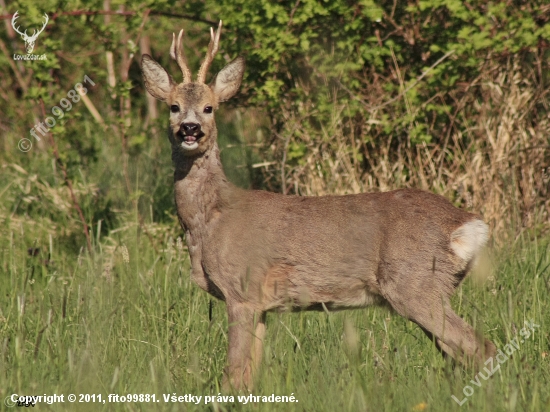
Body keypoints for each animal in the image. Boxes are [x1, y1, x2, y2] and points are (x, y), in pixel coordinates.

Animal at [140, 20, 498, 392]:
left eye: (210, 107)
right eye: (173, 106)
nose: (190, 129)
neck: (209, 221)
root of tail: (467, 224)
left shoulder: (242, 289)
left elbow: (233, 376)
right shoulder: (262, 306)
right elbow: (250, 375)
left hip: (415, 283)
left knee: (481, 346)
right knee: (459, 352)